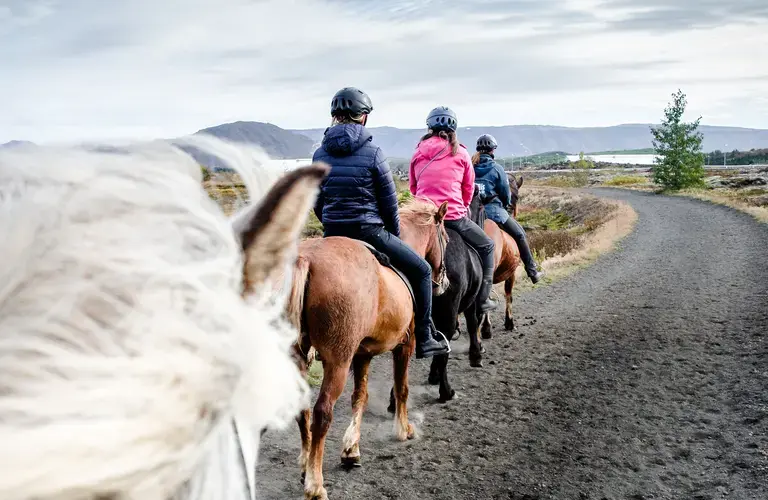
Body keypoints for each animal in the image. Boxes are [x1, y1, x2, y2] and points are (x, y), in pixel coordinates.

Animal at [286, 198, 450, 500]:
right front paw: (403, 429)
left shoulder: (362, 355)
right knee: (322, 412)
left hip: (298, 357)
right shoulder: (405, 344)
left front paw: (351, 449)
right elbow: (401, 388)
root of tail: (307, 259)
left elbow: (359, 397)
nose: (443, 283)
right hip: (337, 362)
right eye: (445, 237)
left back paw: (305, 465)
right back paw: (315, 484)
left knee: (302, 409)